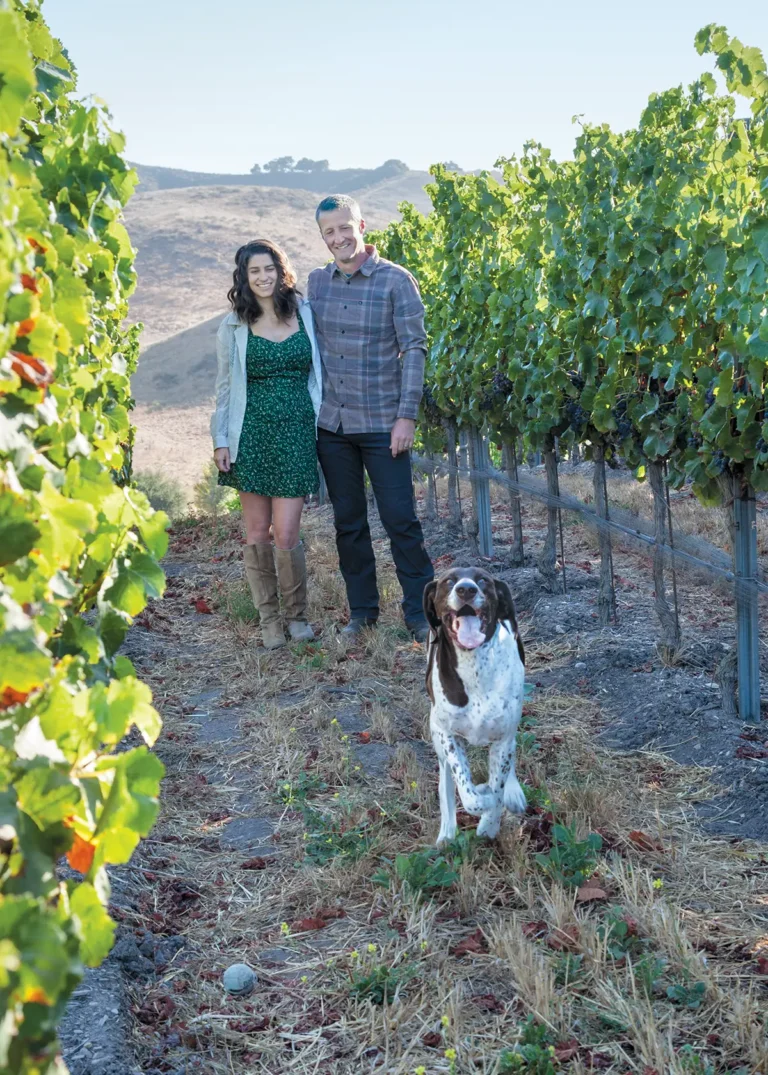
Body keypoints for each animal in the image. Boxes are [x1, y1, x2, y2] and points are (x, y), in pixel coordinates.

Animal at [421, 567, 522, 842]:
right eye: (449, 581)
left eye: (483, 580)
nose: (466, 589)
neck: (474, 664)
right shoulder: (448, 735)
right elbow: (469, 793)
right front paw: (482, 798)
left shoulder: (503, 738)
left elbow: (498, 786)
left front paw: (490, 824)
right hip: (435, 730)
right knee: (446, 777)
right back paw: (447, 831)